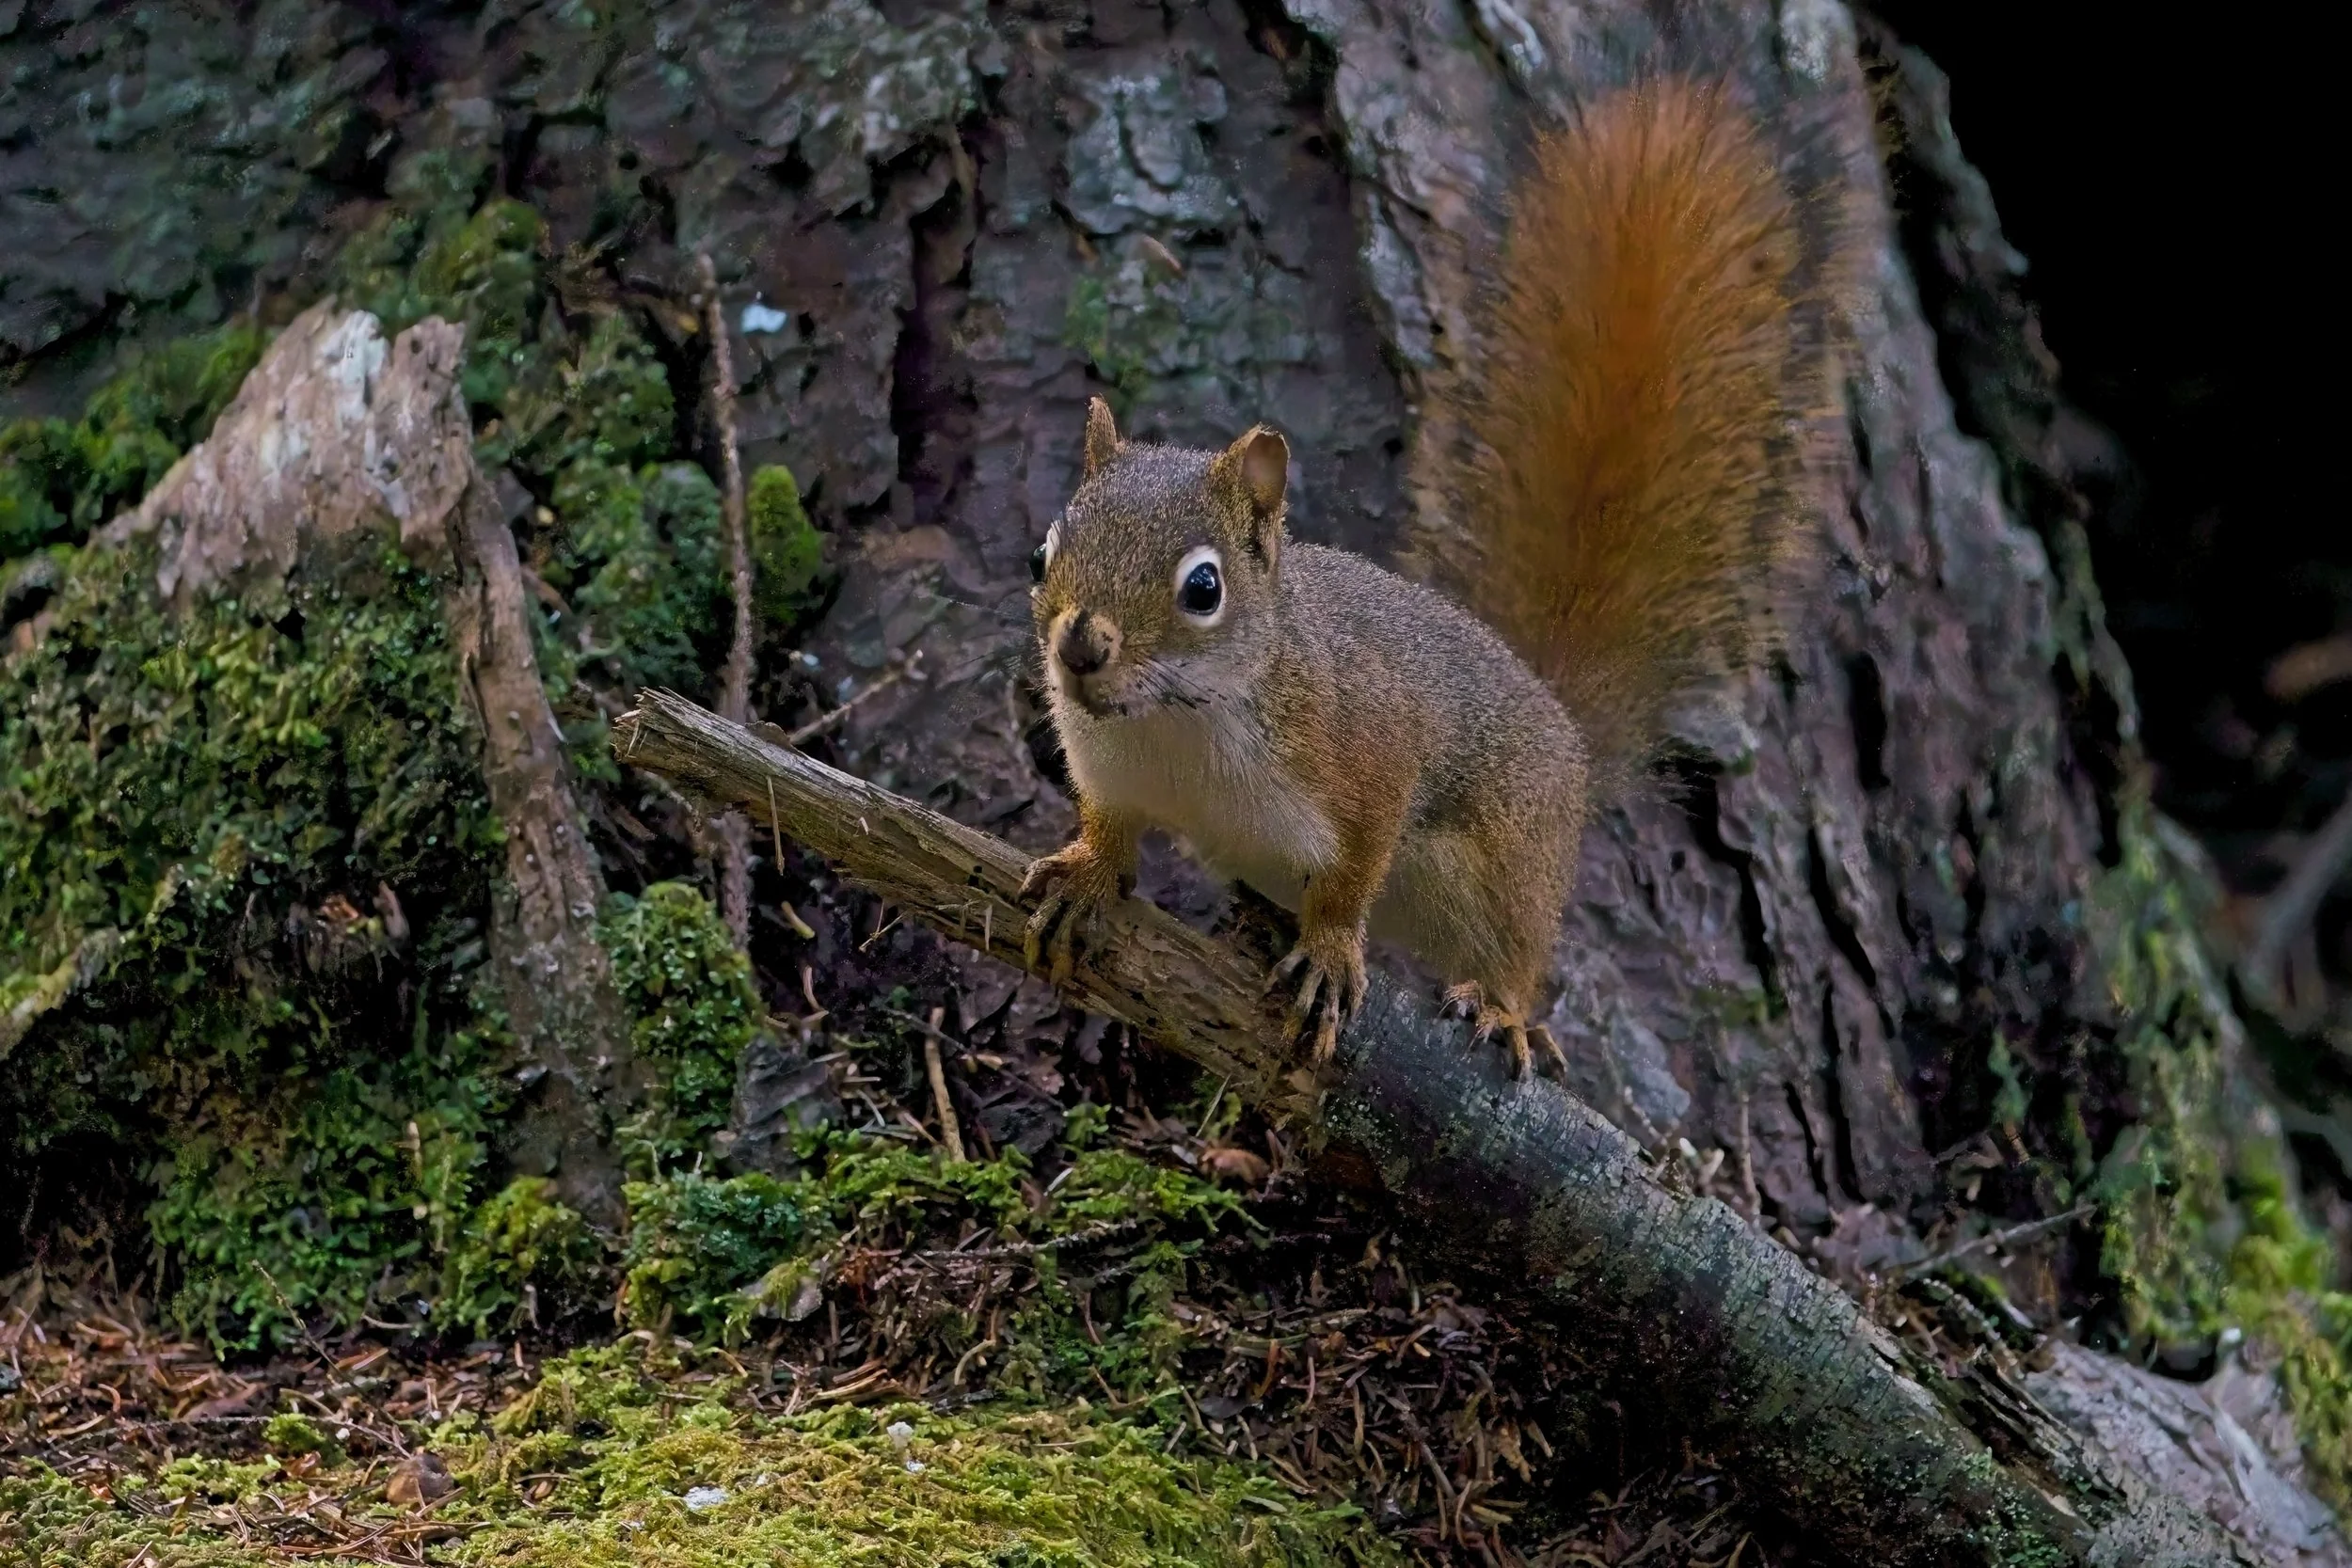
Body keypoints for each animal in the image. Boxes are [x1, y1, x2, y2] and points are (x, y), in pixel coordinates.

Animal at [1020, 77, 1844, 1077]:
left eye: (1203, 589)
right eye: (1043, 554)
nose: (1079, 647)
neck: (1178, 726)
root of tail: (1560, 720)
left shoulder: (1367, 749)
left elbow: (1354, 870)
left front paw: (1331, 952)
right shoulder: (1110, 772)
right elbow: (1108, 826)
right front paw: (1085, 874)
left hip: (1510, 869)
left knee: (1518, 951)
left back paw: (1503, 1010)